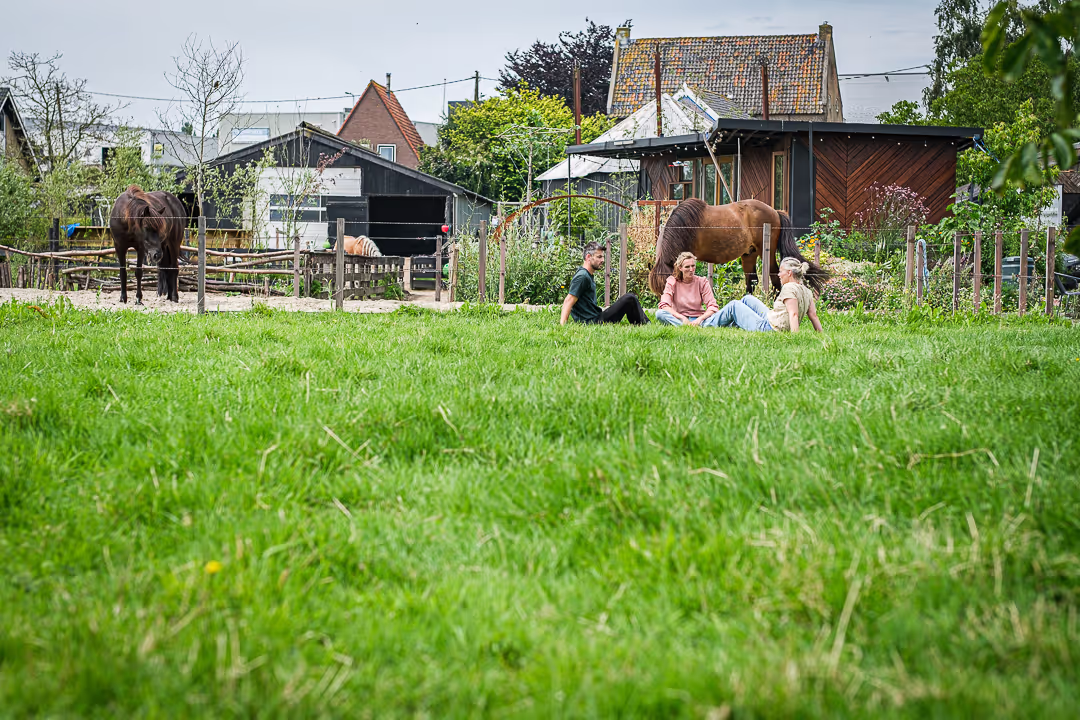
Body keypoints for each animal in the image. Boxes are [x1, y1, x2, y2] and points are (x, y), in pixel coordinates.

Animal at [649, 198, 827, 297]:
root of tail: (775, 211)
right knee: (752, 280)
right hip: (749, 254)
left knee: (774, 276)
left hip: (766, 252)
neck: (685, 227)